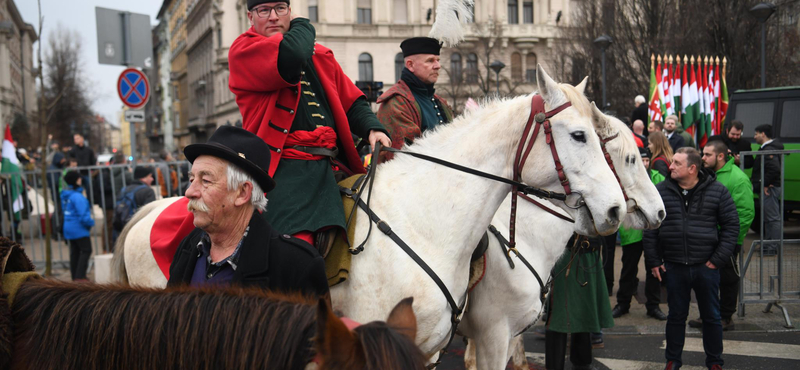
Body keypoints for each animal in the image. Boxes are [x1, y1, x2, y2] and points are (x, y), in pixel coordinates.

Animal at [112, 66, 628, 358]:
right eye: (580, 135)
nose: (616, 210)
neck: (427, 221)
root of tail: (150, 208)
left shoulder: (436, 346)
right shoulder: (488, 334)